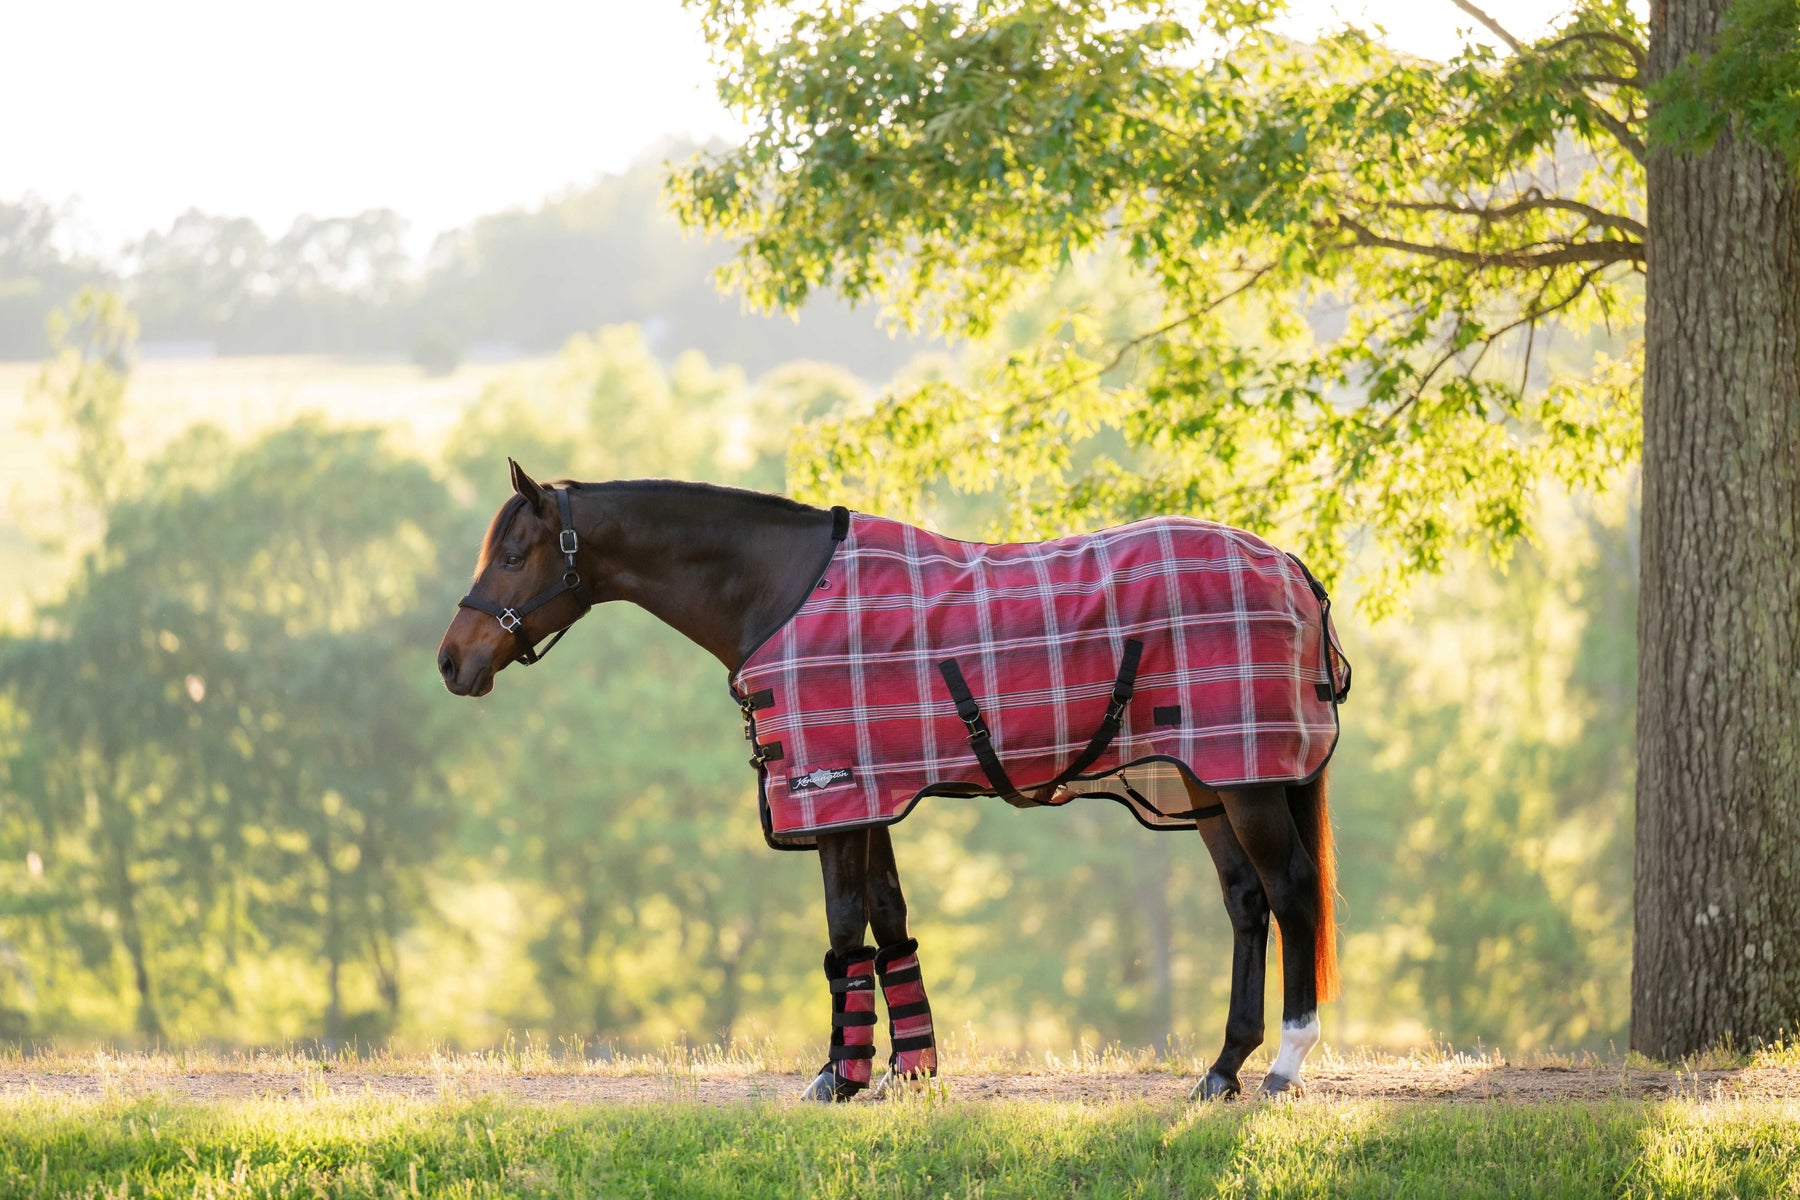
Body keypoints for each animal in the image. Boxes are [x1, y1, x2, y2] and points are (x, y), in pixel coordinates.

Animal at [432, 464, 1339, 1101]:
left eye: (513, 555)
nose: (451, 662)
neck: (783, 591)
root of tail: (1291, 564)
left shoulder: (833, 795)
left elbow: (844, 931)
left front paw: (839, 1075)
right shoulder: (870, 797)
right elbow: (889, 922)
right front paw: (912, 1067)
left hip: (1247, 781)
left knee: (1290, 891)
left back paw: (1284, 1066)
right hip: (1209, 780)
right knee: (1247, 904)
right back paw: (1220, 1070)